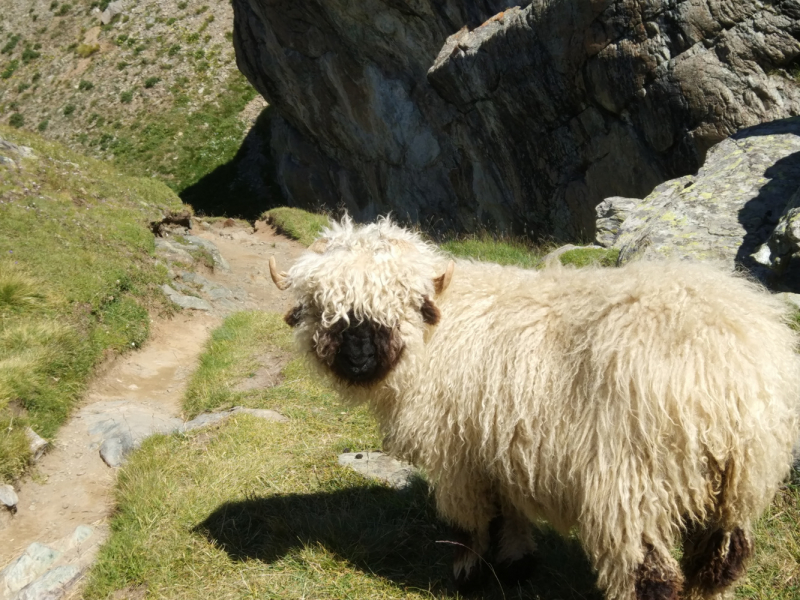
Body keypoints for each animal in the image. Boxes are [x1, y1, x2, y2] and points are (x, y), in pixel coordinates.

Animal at [272, 219, 800, 600]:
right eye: (325, 309)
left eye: (397, 306)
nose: (358, 359)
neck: (435, 334)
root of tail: (725, 373)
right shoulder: (500, 442)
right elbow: (510, 512)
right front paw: (517, 563)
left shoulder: (457, 455)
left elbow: (469, 524)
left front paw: (467, 576)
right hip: (739, 485)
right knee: (718, 566)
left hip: (631, 483)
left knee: (649, 577)